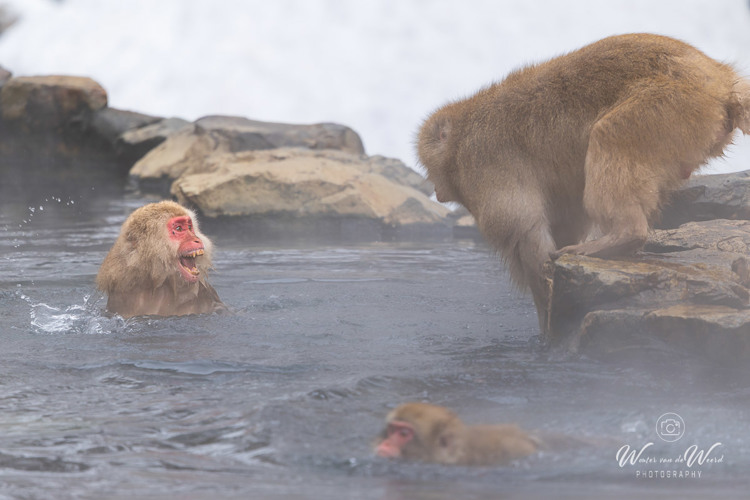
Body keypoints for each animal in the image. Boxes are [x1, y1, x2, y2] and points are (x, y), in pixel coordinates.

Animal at [418, 33, 750, 330]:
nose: (436, 190)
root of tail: (722, 81)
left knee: (610, 135)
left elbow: (524, 229)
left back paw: (624, 235)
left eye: (429, 168)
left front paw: (546, 311)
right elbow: (563, 219)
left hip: (669, 107)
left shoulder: (483, 161)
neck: (460, 138)